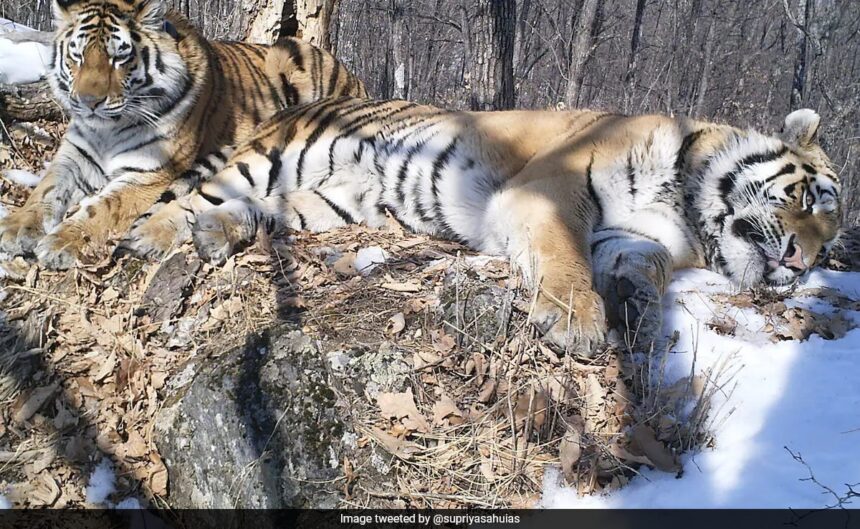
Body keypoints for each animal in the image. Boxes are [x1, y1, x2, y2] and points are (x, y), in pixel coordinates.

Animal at [0, 0, 366, 268]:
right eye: (77, 55)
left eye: (119, 57)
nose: (88, 102)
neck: (107, 129)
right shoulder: (73, 157)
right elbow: (44, 192)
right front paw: (15, 229)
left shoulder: (149, 175)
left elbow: (102, 209)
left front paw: (61, 242)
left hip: (289, 57)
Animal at [114, 97, 840, 356]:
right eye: (810, 199)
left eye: (832, 239)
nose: (803, 262)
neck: (686, 203)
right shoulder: (550, 190)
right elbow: (563, 256)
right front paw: (575, 322)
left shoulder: (636, 235)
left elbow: (643, 264)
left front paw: (635, 303)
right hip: (276, 158)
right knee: (189, 197)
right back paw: (152, 237)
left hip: (332, 202)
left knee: (253, 213)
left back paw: (215, 234)